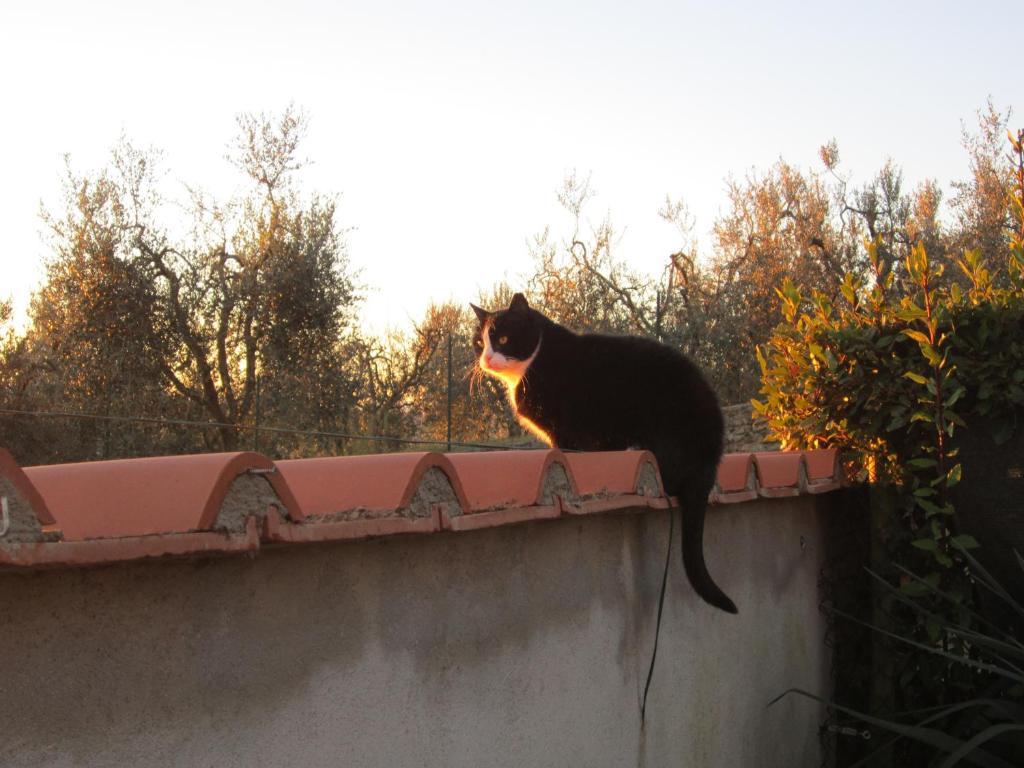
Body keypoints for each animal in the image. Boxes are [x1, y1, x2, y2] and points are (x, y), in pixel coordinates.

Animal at [471, 290, 737, 618]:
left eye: (504, 339)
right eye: (479, 342)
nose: (485, 358)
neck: (533, 364)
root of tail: (711, 458)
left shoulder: (565, 431)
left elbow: (565, 447)